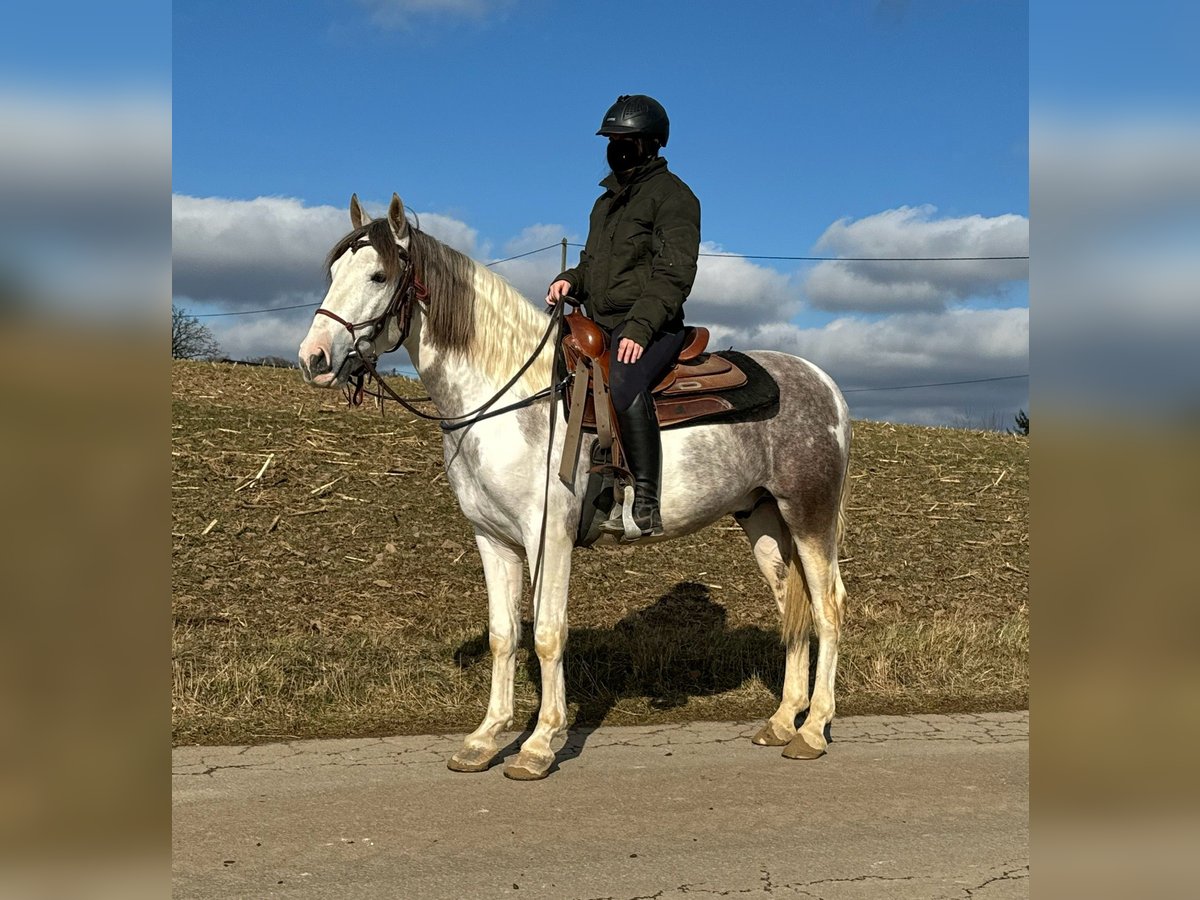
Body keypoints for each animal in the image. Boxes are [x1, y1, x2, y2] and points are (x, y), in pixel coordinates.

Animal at [300, 196, 854, 782]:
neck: (513, 398)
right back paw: (782, 722)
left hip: (810, 517)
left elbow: (547, 633)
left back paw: (813, 729)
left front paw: (540, 743)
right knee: (792, 608)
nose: (313, 358)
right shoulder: (492, 540)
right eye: (334, 273)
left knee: (828, 607)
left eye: (379, 275)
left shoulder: (549, 537)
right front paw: (485, 739)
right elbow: (504, 635)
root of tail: (825, 385)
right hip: (765, 522)